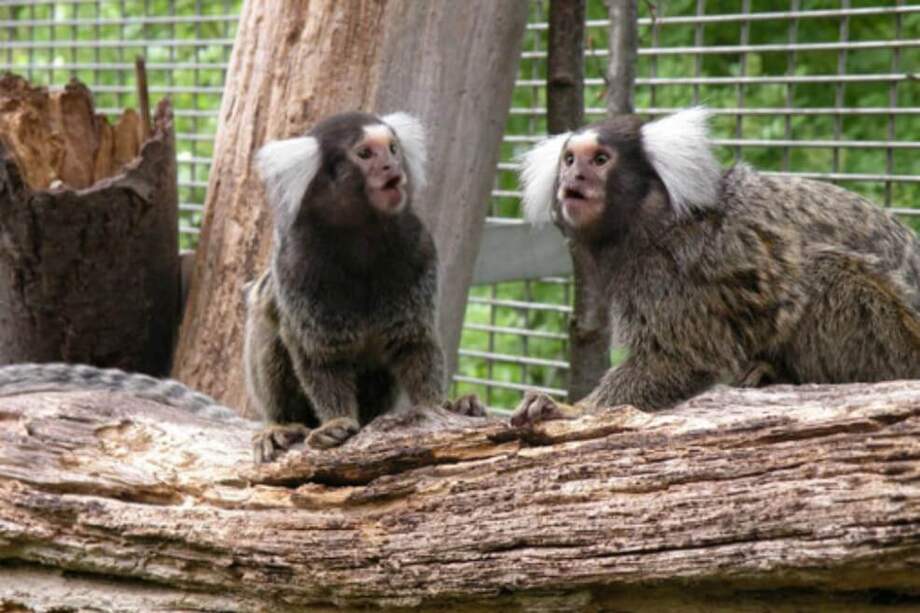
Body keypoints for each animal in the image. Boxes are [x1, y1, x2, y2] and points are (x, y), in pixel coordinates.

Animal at [249, 111, 484, 463]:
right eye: (365, 154)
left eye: (393, 148)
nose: (390, 166)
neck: (359, 235)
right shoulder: (294, 265)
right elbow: (319, 355)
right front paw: (336, 423)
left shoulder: (420, 248)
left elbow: (414, 342)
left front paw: (442, 407)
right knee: (269, 324)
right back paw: (280, 425)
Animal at [511, 107, 920, 426]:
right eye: (569, 160)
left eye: (599, 160)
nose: (574, 177)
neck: (654, 219)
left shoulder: (668, 270)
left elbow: (677, 360)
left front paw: (571, 409)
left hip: (898, 343)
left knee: (826, 270)